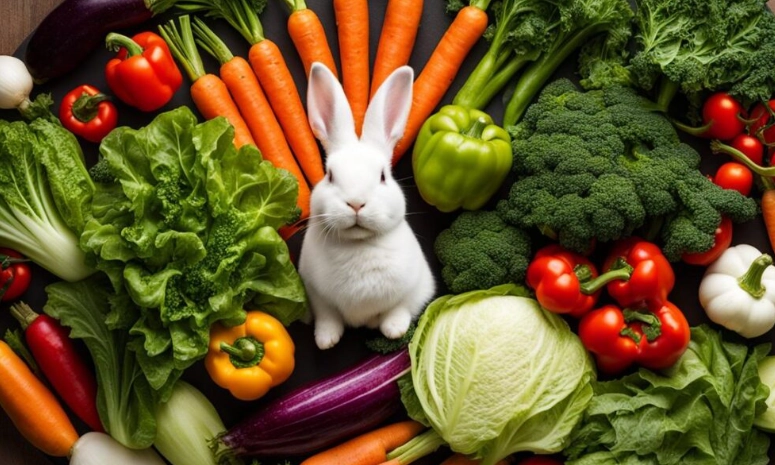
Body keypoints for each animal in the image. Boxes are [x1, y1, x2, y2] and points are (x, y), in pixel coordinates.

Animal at [299, 62, 436, 350]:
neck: (358, 244)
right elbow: (327, 317)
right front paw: (326, 341)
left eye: (383, 176)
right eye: (330, 175)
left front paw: (393, 330)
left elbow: (401, 308)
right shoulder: (316, 294)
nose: (356, 203)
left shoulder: (416, 286)